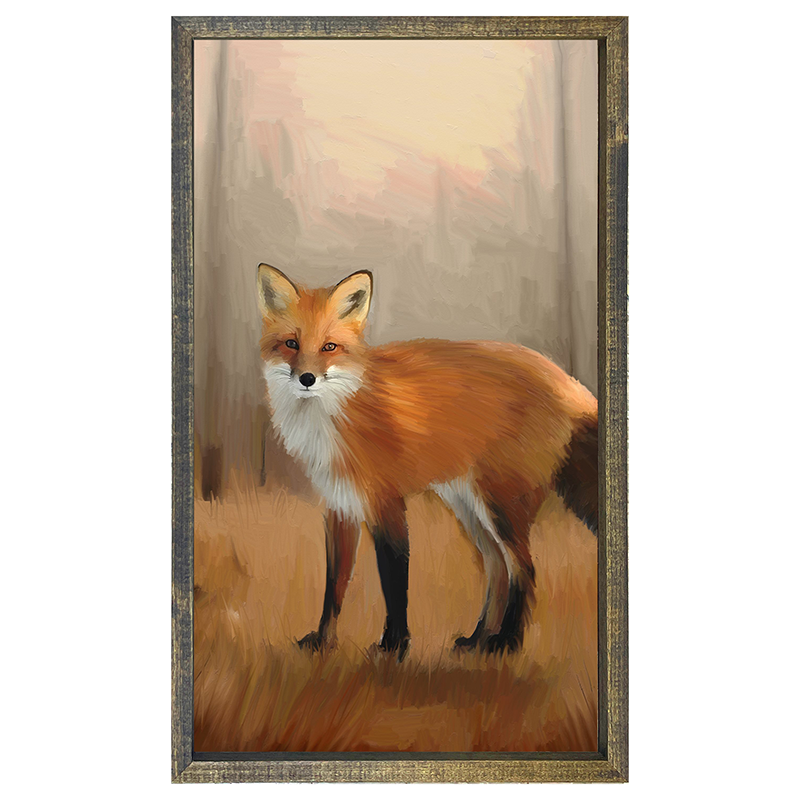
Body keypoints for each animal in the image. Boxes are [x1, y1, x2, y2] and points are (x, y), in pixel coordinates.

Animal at [257, 264, 598, 659]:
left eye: (329, 346)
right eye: (291, 344)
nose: (307, 378)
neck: (335, 414)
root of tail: (569, 382)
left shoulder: (387, 503)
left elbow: (394, 581)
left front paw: (394, 647)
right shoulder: (340, 507)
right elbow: (334, 586)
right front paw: (324, 642)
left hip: (501, 505)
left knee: (524, 569)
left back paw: (507, 643)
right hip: (469, 507)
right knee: (497, 568)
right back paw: (477, 640)